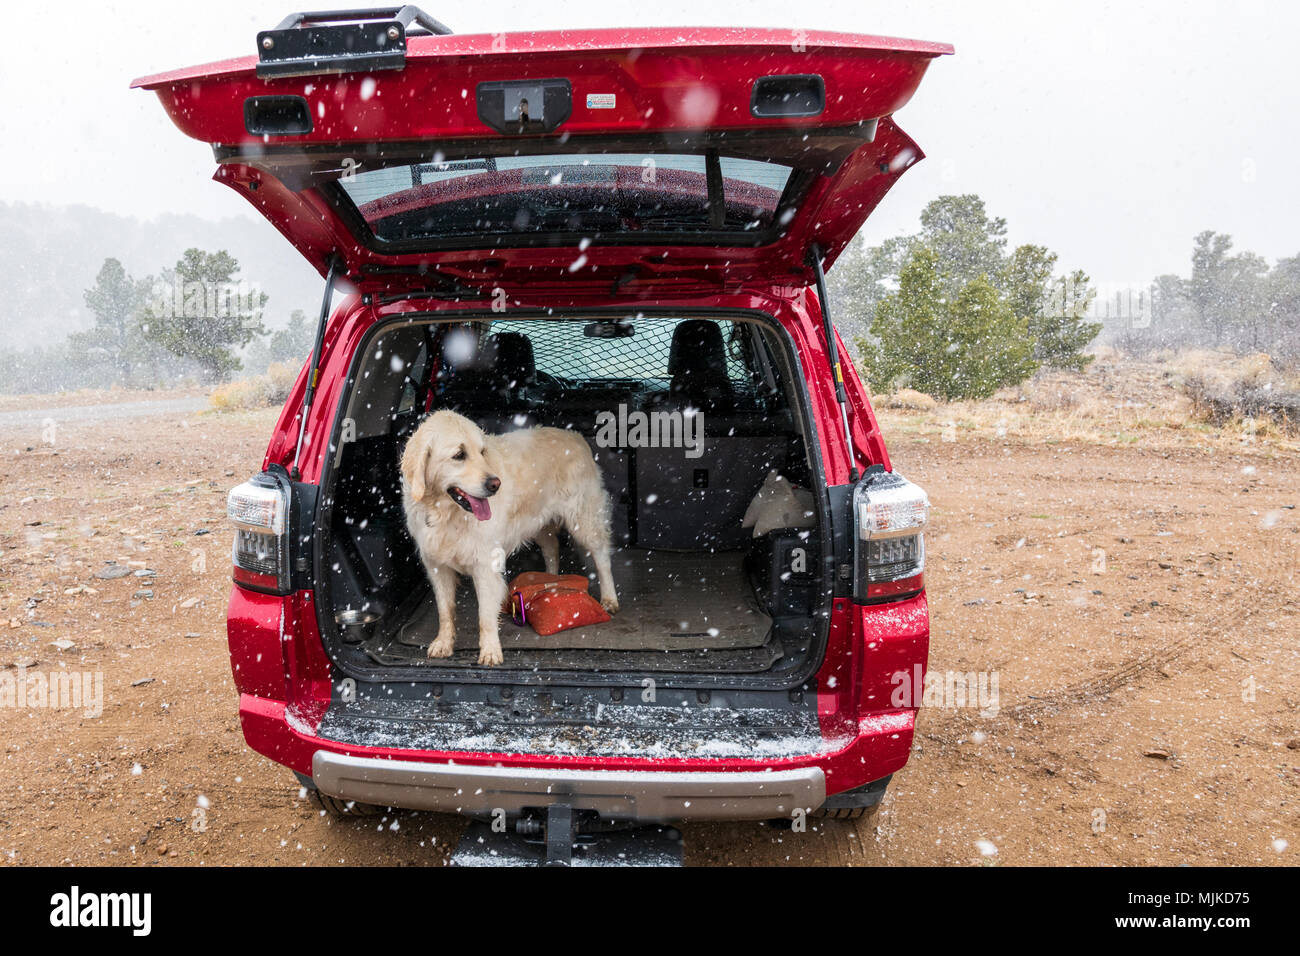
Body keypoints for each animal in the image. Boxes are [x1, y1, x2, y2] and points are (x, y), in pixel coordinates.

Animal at [397, 408, 616, 665]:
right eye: (459, 455)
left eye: (482, 452)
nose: (495, 484)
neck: (446, 513)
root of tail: (576, 436)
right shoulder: (436, 566)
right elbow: (444, 609)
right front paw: (443, 642)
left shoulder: (485, 563)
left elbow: (484, 615)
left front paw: (490, 651)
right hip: (539, 522)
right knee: (552, 548)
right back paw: (551, 580)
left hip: (584, 519)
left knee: (602, 557)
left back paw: (609, 598)